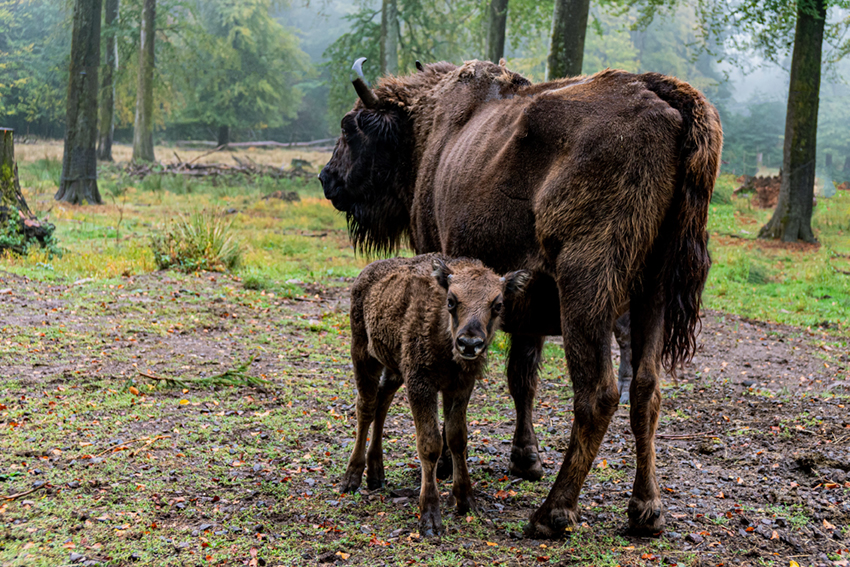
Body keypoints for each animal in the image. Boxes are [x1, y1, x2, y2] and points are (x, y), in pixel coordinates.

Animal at [336, 253, 524, 536]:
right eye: (451, 301)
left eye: (498, 304)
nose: (469, 343)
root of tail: (366, 273)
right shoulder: (421, 383)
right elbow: (430, 444)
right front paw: (430, 517)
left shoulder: (460, 387)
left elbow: (457, 438)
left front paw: (466, 501)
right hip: (363, 354)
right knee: (366, 406)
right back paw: (352, 478)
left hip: (395, 368)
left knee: (382, 401)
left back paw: (377, 474)